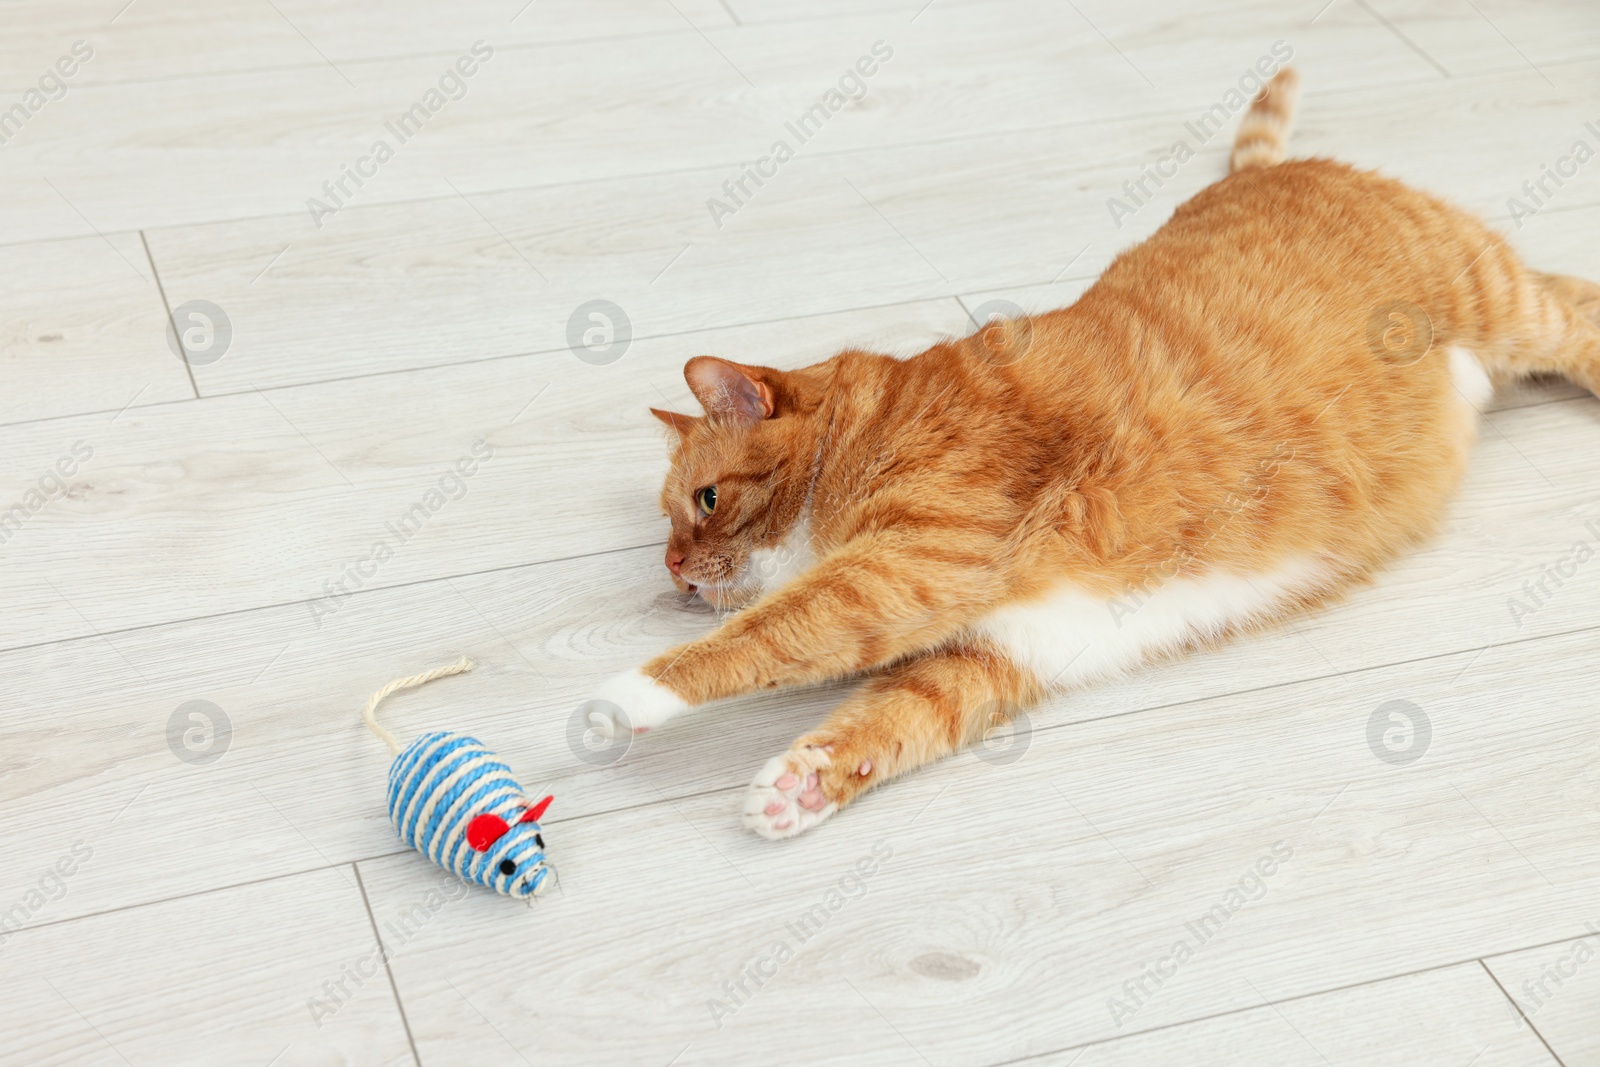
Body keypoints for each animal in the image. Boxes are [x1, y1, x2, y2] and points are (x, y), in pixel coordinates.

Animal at [582, 70, 1600, 844]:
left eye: (703, 501)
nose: (672, 570)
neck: (865, 430)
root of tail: (1279, 167)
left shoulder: (907, 564)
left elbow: (763, 635)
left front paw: (624, 694)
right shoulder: (989, 648)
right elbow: (890, 714)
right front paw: (803, 781)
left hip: (1501, 301)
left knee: (1575, 305)